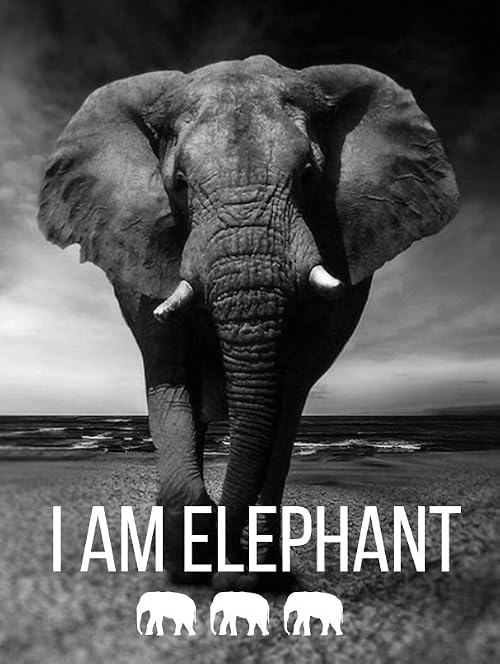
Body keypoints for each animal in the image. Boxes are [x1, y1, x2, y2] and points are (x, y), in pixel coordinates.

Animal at [38, 55, 458, 590]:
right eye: (178, 184)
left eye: (308, 175)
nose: (226, 567)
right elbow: (168, 376)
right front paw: (191, 557)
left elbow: (286, 391)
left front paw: (238, 563)